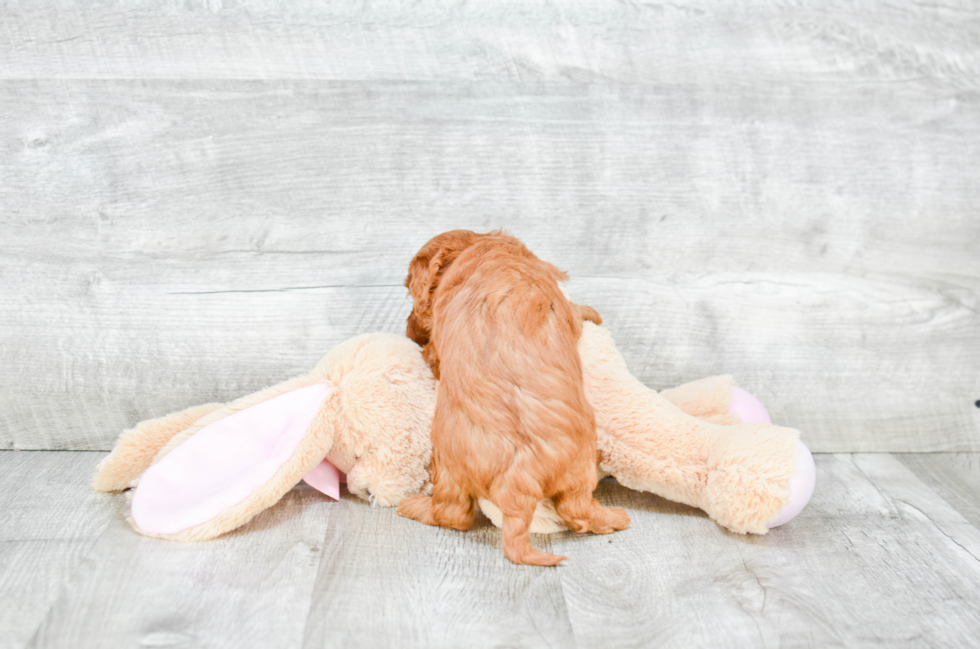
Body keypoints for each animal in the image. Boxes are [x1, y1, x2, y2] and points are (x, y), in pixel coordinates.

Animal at [396, 230, 628, 564]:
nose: (409, 331)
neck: (484, 250)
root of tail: (518, 480)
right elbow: (576, 310)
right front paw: (593, 313)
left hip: (448, 465)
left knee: (453, 514)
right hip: (579, 467)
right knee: (577, 510)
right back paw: (616, 518)